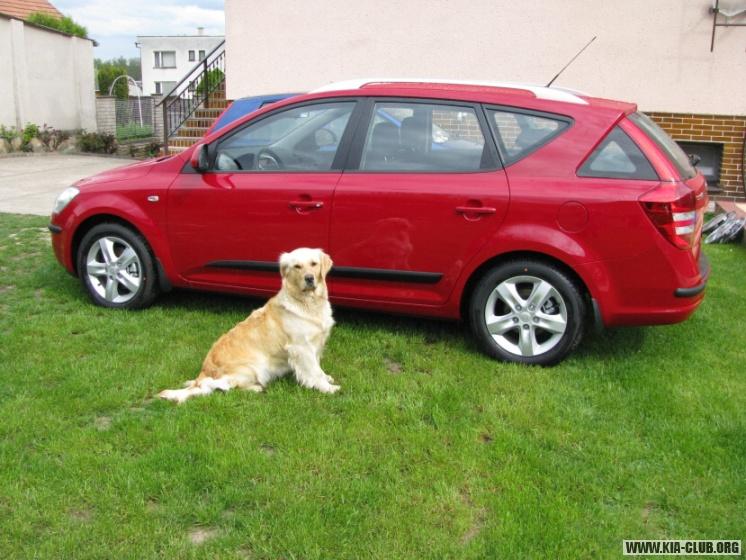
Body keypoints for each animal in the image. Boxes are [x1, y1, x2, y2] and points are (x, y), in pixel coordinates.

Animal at [158, 248, 338, 403]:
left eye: (314, 264)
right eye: (297, 266)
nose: (309, 278)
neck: (309, 303)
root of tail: (203, 372)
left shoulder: (315, 344)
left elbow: (318, 368)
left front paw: (326, 378)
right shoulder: (301, 347)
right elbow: (313, 371)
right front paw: (327, 388)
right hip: (253, 367)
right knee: (224, 387)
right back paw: (256, 388)